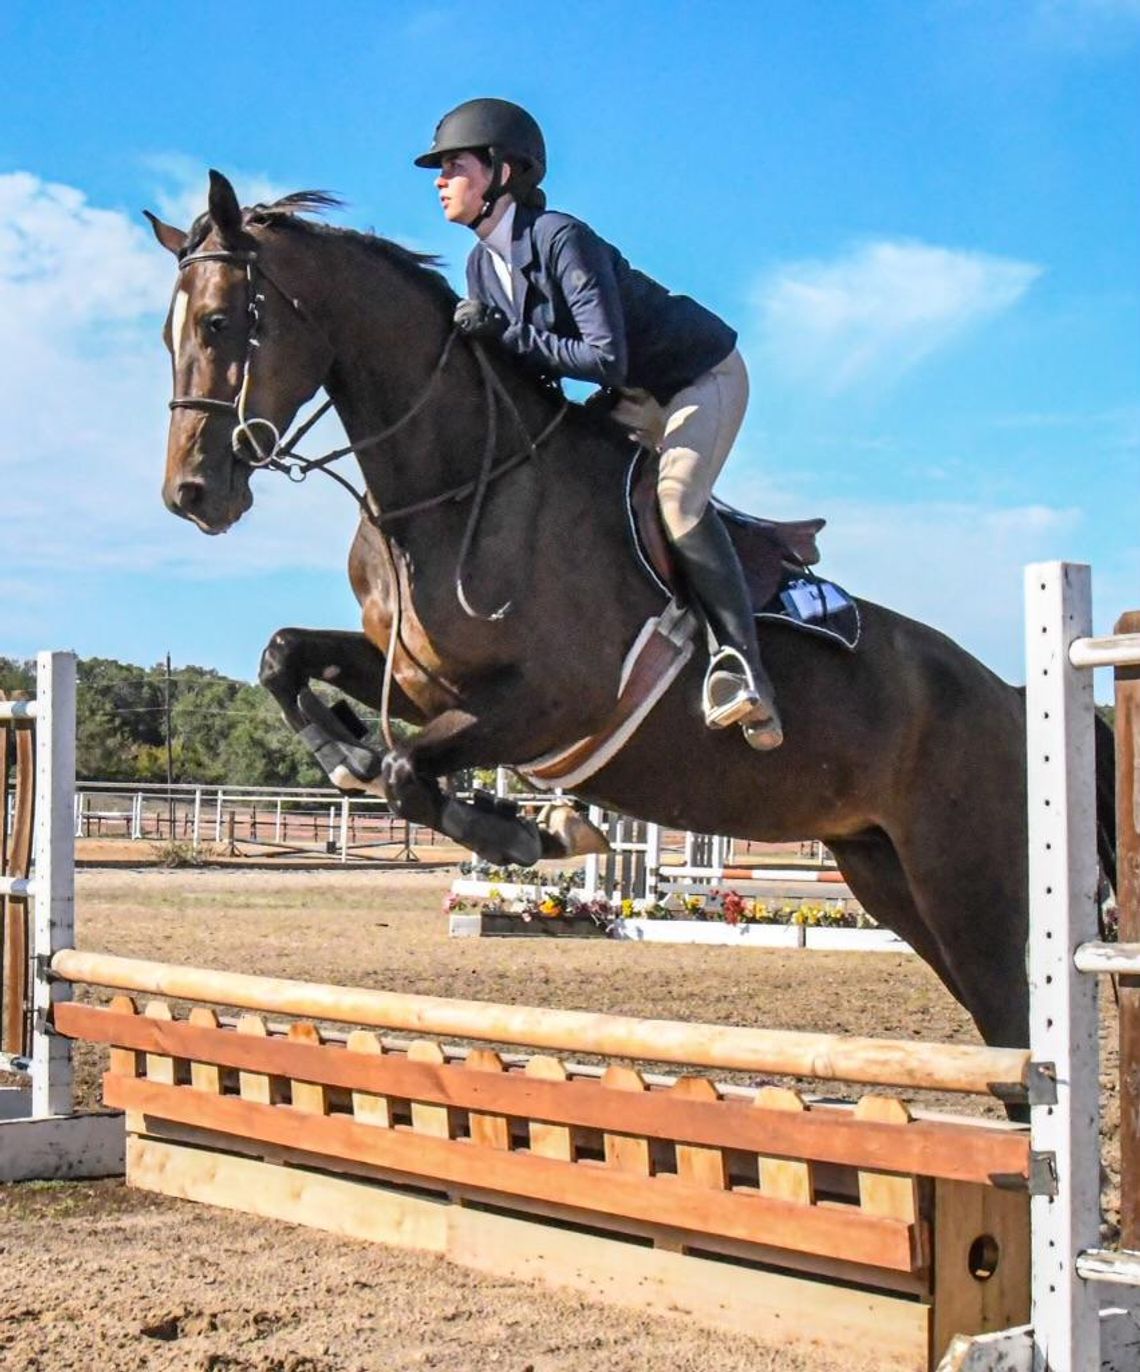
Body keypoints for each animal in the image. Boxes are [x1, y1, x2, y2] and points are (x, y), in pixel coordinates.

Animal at [146, 171, 1119, 1048]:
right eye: (165, 334)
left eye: (221, 322)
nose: (191, 496)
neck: (457, 491)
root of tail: (1013, 701)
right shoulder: (422, 681)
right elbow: (286, 658)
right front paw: (347, 751)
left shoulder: (550, 704)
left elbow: (408, 769)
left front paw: (521, 832)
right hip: (884, 871)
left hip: (969, 884)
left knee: (1018, 1022)